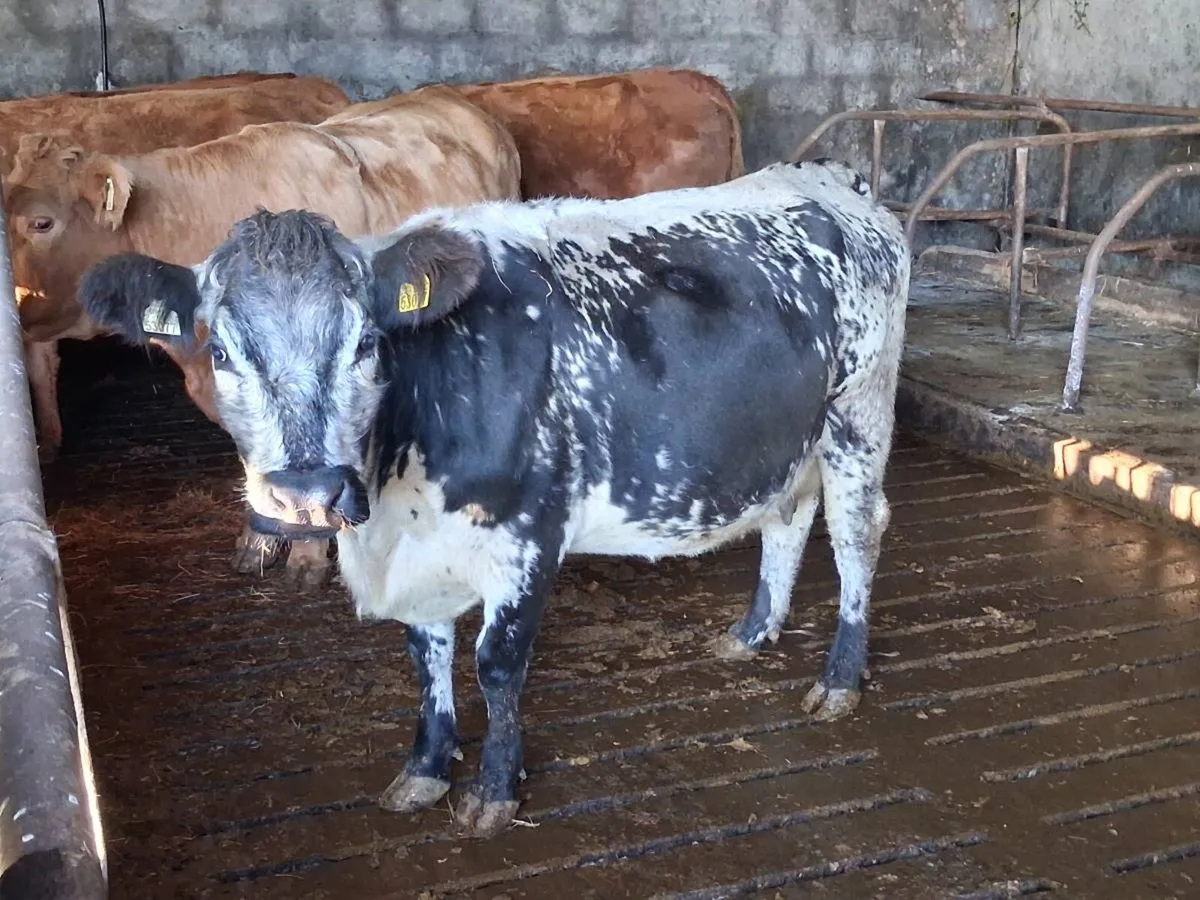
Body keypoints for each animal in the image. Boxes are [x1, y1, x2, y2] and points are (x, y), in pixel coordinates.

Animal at [78, 157, 911, 838]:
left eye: (367, 344)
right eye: (220, 351)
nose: (306, 492)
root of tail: (827, 178)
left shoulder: (531, 534)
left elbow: (497, 664)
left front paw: (494, 789)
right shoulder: (417, 552)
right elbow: (427, 654)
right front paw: (425, 768)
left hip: (859, 417)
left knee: (857, 535)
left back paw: (839, 678)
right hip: (791, 439)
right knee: (787, 520)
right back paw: (752, 632)